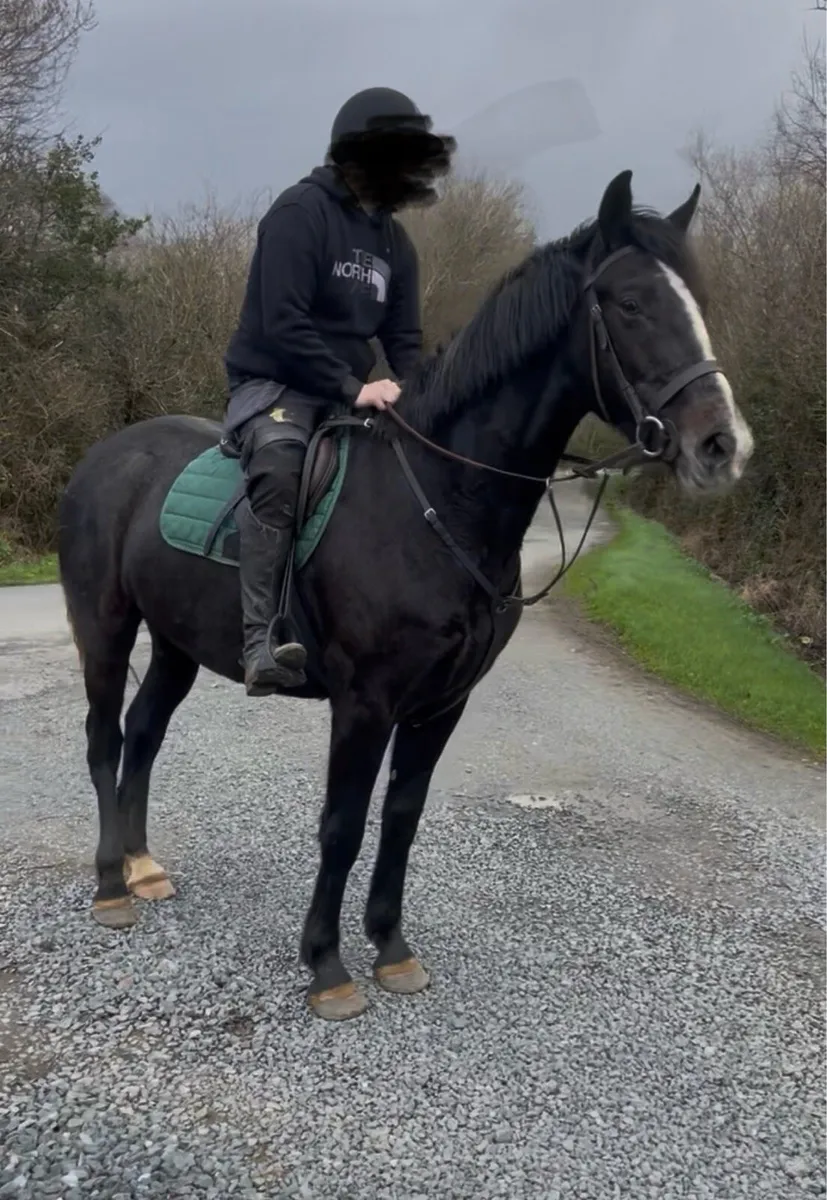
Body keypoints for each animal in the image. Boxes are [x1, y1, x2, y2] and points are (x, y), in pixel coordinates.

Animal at [57, 170, 754, 1020]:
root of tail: (106, 455)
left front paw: (390, 948)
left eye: (696, 302)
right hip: (104, 626)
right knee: (104, 739)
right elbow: (342, 825)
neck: (440, 498)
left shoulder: (441, 702)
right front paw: (326, 965)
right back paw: (108, 887)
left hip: (177, 643)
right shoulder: (366, 702)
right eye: (629, 303)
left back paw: (142, 867)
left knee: (145, 732)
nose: (721, 447)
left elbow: (400, 818)